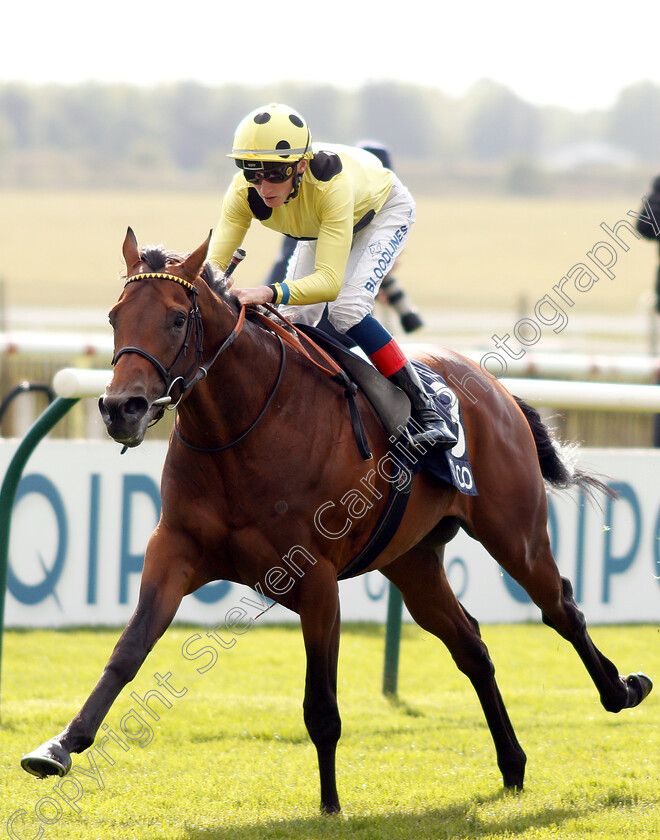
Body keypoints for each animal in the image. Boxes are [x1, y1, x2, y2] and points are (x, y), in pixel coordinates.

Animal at [21, 230, 648, 812]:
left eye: (177, 319)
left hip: (514, 534)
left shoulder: (316, 578)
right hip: (412, 560)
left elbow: (321, 703)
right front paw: (58, 747)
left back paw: (621, 690)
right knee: (470, 643)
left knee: (561, 607)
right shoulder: (173, 550)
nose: (119, 409)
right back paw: (513, 765)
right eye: (114, 316)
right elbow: (127, 652)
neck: (242, 429)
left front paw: (329, 804)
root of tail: (495, 387)